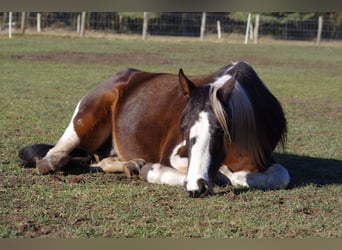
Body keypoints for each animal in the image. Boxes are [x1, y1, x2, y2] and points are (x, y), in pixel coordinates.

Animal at [20, 61, 290, 197]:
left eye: (220, 131)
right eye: (183, 125)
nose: (197, 188)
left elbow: (278, 176)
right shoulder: (175, 153)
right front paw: (154, 171)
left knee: (99, 160)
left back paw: (129, 165)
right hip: (85, 119)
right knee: (56, 153)